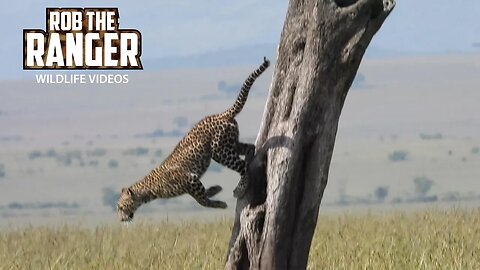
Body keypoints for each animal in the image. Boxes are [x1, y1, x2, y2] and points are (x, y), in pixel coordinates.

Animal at [116, 57, 270, 221]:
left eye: (121, 207)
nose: (121, 219)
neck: (148, 190)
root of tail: (221, 115)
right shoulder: (192, 183)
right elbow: (202, 195)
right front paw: (215, 189)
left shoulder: (190, 180)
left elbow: (202, 201)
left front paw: (220, 203)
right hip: (229, 143)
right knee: (250, 148)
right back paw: (249, 162)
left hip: (220, 152)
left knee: (242, 166)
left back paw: (240, 188)